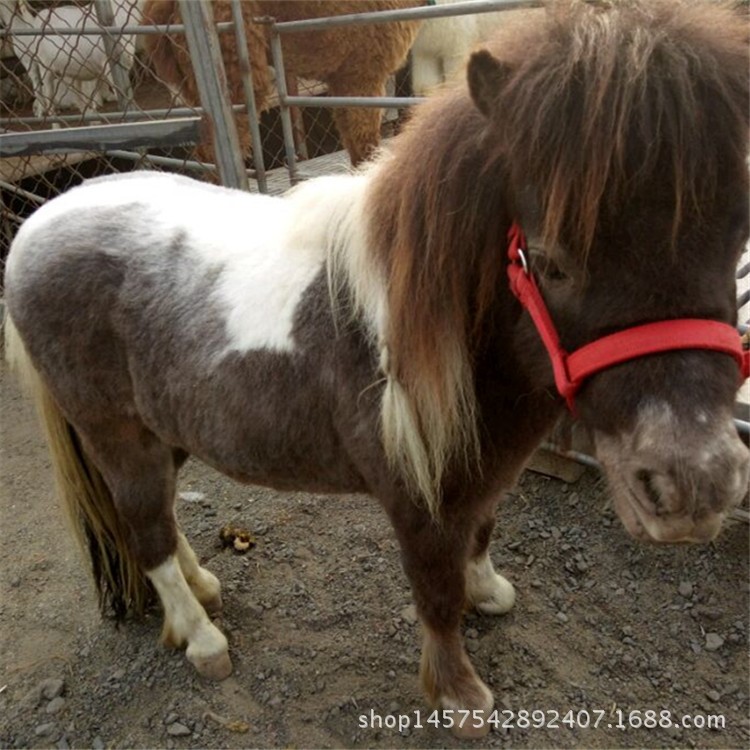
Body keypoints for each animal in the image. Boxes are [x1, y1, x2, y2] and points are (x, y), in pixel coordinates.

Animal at [141, 1, 424, 166]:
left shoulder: (342, 79)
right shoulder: (363, 71)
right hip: (232, 58)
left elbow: (353, 143)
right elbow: (366, 145)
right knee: (212, 150)